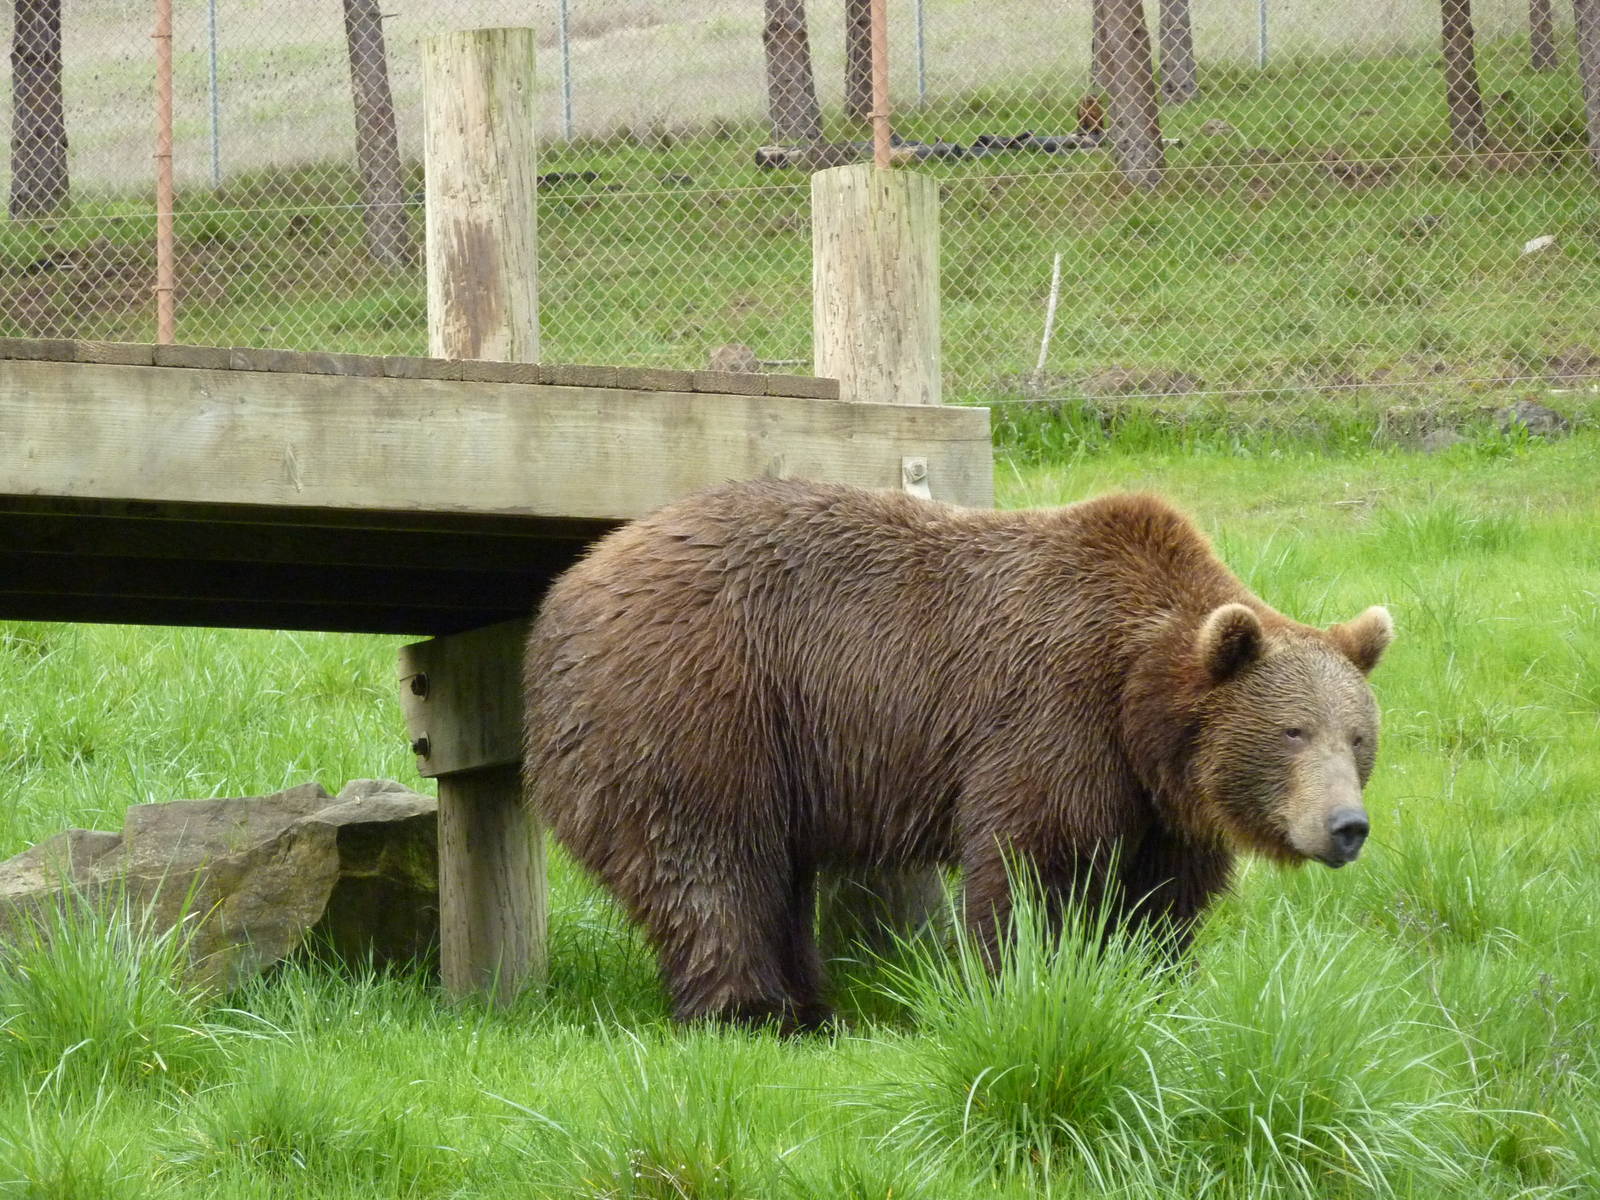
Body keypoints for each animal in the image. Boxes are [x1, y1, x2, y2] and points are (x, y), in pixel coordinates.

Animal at [523, 479, 1393, 1030]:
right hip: (703, 701)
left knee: (776, 875)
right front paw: (1026, 985)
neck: (1140, 705)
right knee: (711, 858)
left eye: (1357, 737)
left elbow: (1159, 902)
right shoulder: (1054, 717)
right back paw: (753, 1011)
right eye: (1292, 732)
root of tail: (568, 588)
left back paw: (811, 1006)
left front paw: (1152, 987)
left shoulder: (1157, 804)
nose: (1346, 825)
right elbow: (1030, 863)